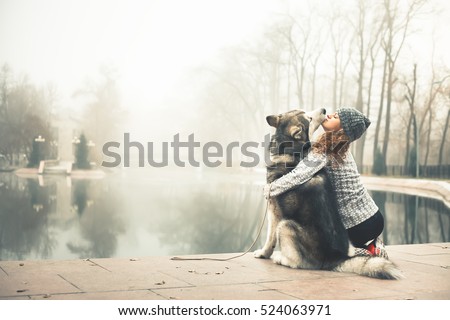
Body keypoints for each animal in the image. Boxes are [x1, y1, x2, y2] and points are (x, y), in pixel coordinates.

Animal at [253, 108, 404, 280]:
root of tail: (335, 258)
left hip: (285, 225)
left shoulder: (274, 212)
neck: (292, 149)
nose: (324, 110)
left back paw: (280, 258)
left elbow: (269, 239)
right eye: (309, 118)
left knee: (298, 262)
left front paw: (263, 253)